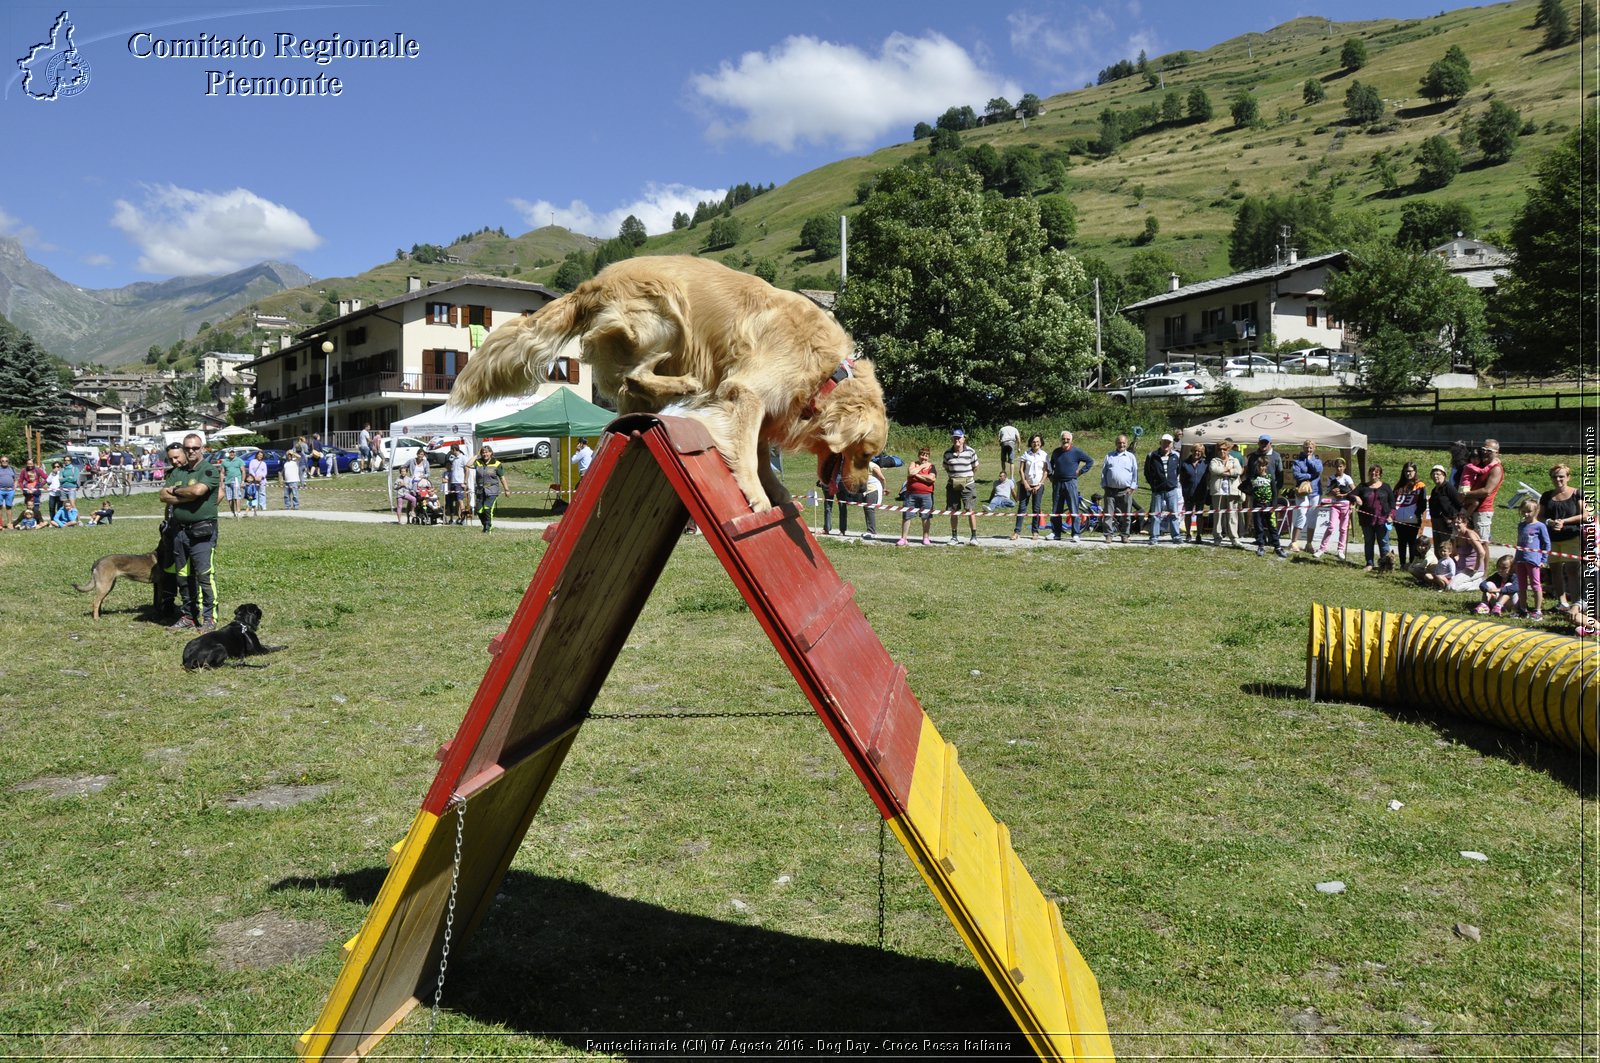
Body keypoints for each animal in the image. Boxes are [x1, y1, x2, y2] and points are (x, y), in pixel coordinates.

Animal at [454, 252, 889, 512]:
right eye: (865, 453)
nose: (858, 493)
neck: (828, 373)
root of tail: (590, 284)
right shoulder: (746, 391)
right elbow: (748, 453)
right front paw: (757, 497)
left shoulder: (762, 410)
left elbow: (760, 453)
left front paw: (776, 494)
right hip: (666, 314)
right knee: (637, 372)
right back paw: (686, 385)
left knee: (630, 391)